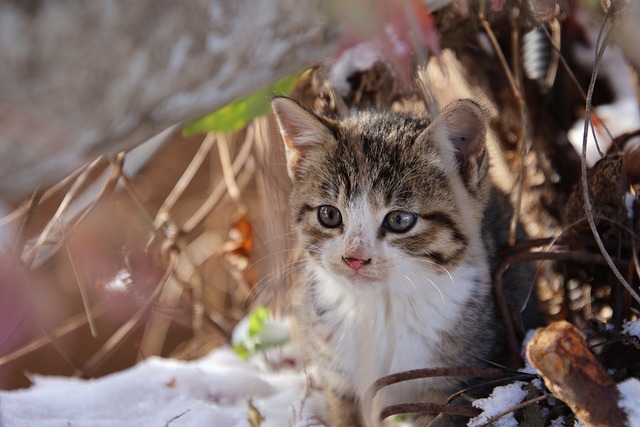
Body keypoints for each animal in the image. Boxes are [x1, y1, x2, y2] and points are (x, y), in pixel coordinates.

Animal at [270, 98, 536, 427]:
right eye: (329, 214)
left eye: (399, 220)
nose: (354, 258)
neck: (381, 308)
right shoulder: (340, 379)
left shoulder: (453, 382)